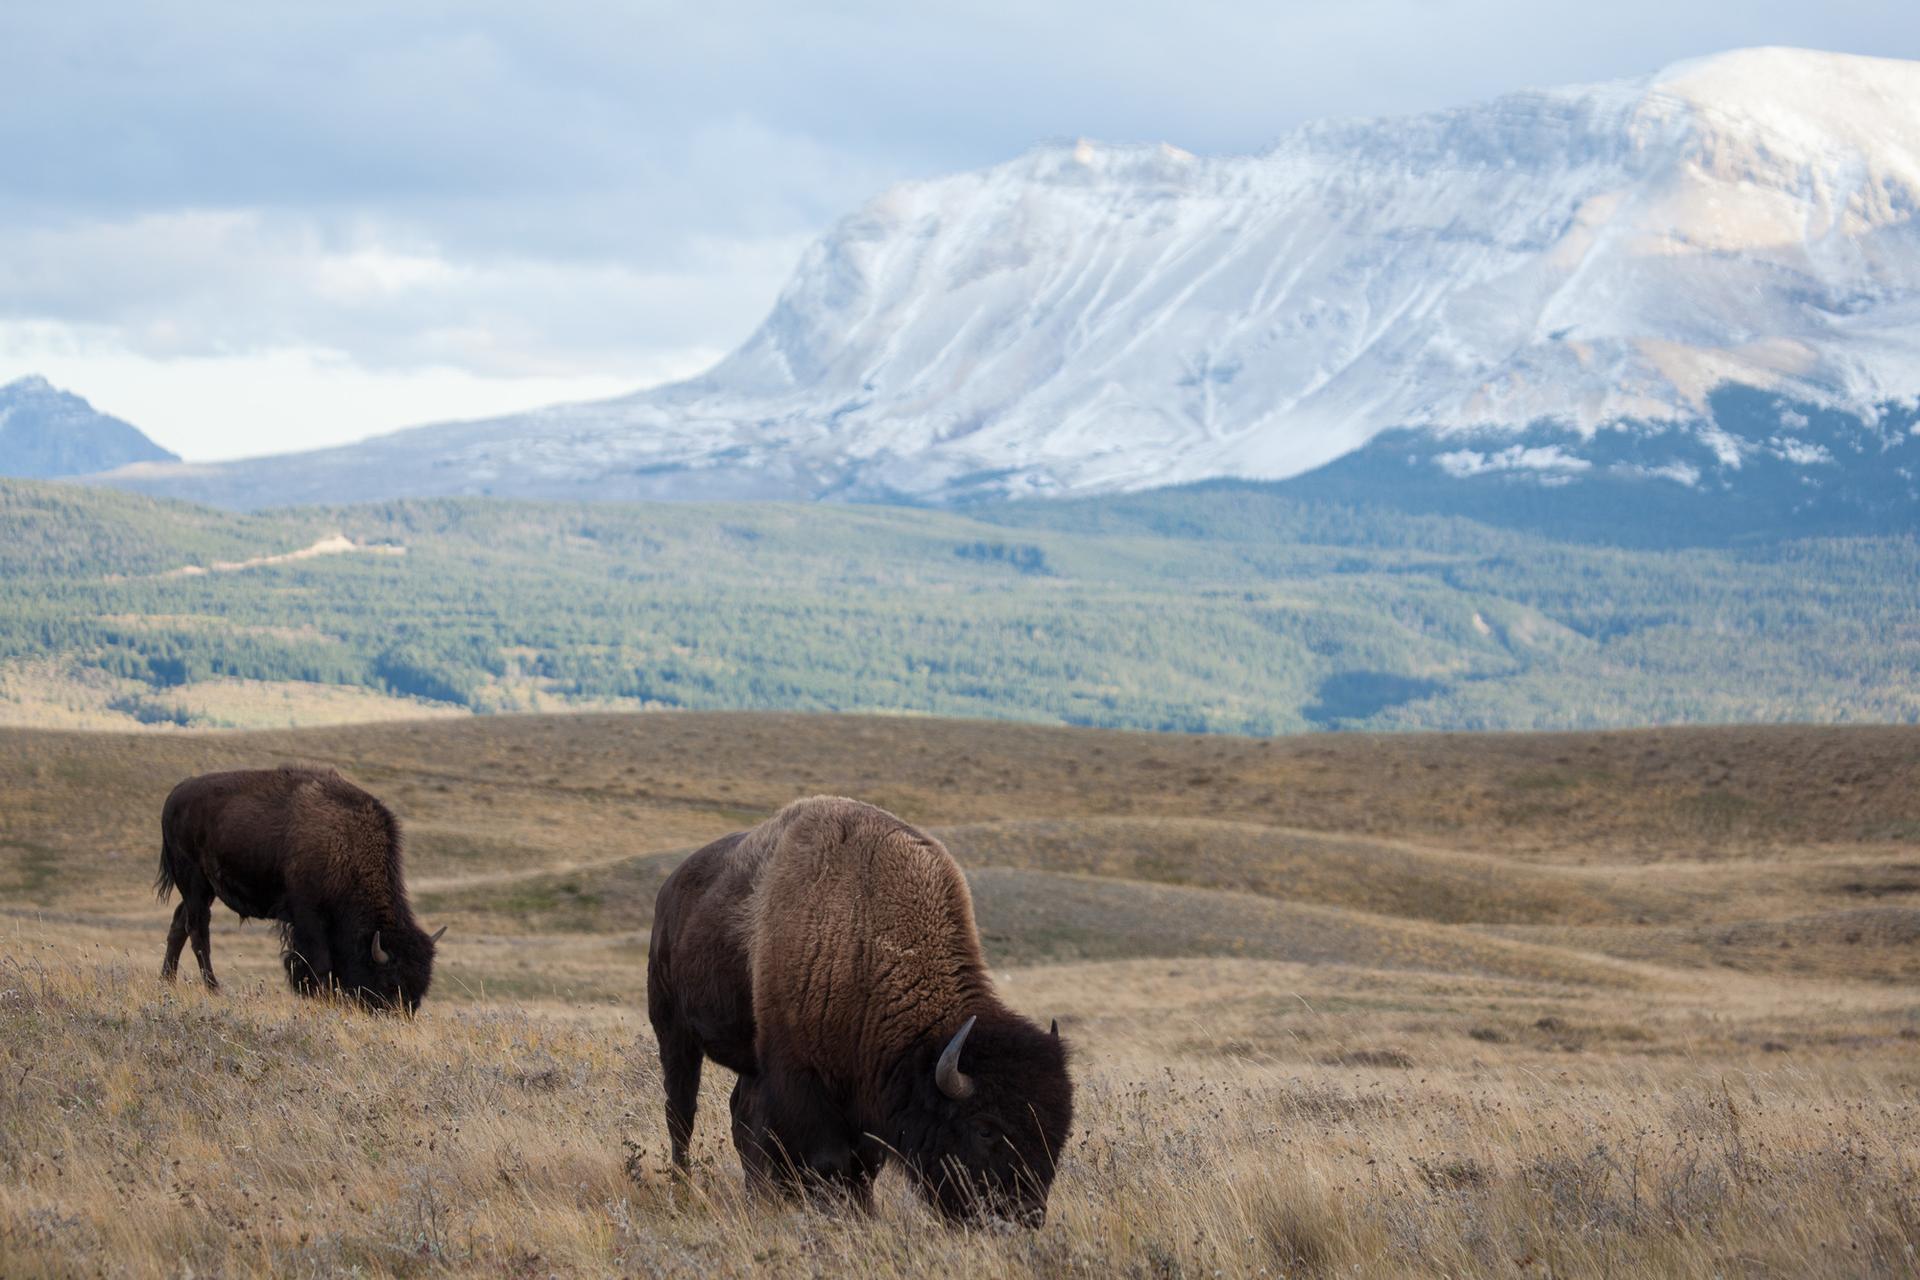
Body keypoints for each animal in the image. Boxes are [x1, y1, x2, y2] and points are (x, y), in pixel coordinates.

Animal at [153, 767, 445, 1013]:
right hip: (195, 883)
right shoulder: (308, 916)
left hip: (204, 890)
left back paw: (167, 981)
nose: (400, 1015)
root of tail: (177, 792)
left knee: (179, 924)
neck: (345, 846)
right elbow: (319, 962)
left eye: (421, 987)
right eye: (390, 983)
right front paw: (321, 997)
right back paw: (213, 988)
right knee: (198, 932)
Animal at [648, 794, 1075, 1228]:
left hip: (748, 1061)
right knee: (681, 1113)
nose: (1025, 1216)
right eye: (986, 1129)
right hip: (673, 1031)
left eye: (1057, 1132)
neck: (866, 938)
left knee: (740, 1116)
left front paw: (864, 1212)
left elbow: (861, 1165)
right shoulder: (801, 1083)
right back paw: (683, 1189)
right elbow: (824, 1159)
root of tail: (670, 888)